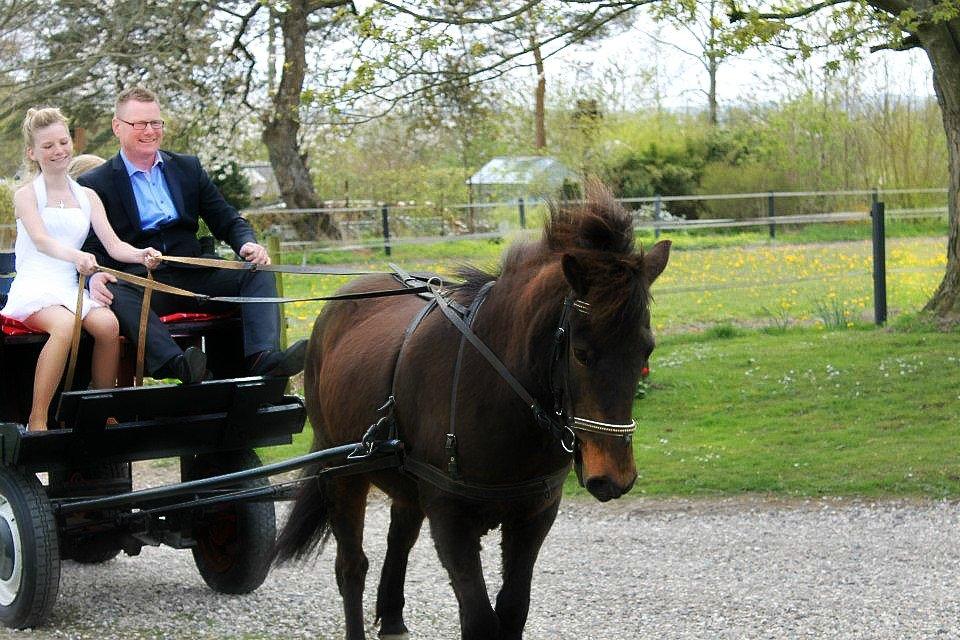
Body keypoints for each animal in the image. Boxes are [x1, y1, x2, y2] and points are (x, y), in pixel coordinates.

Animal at [274, 182, 672, 636]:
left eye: (646, 350)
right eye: (582, 353)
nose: (615, 477)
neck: (500, 394)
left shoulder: (534, 516)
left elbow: (512, 609)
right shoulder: (451, 519)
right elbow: (480, 618)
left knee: (400, 537)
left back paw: (392, 618)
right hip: (341, 472)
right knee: (351, 568)